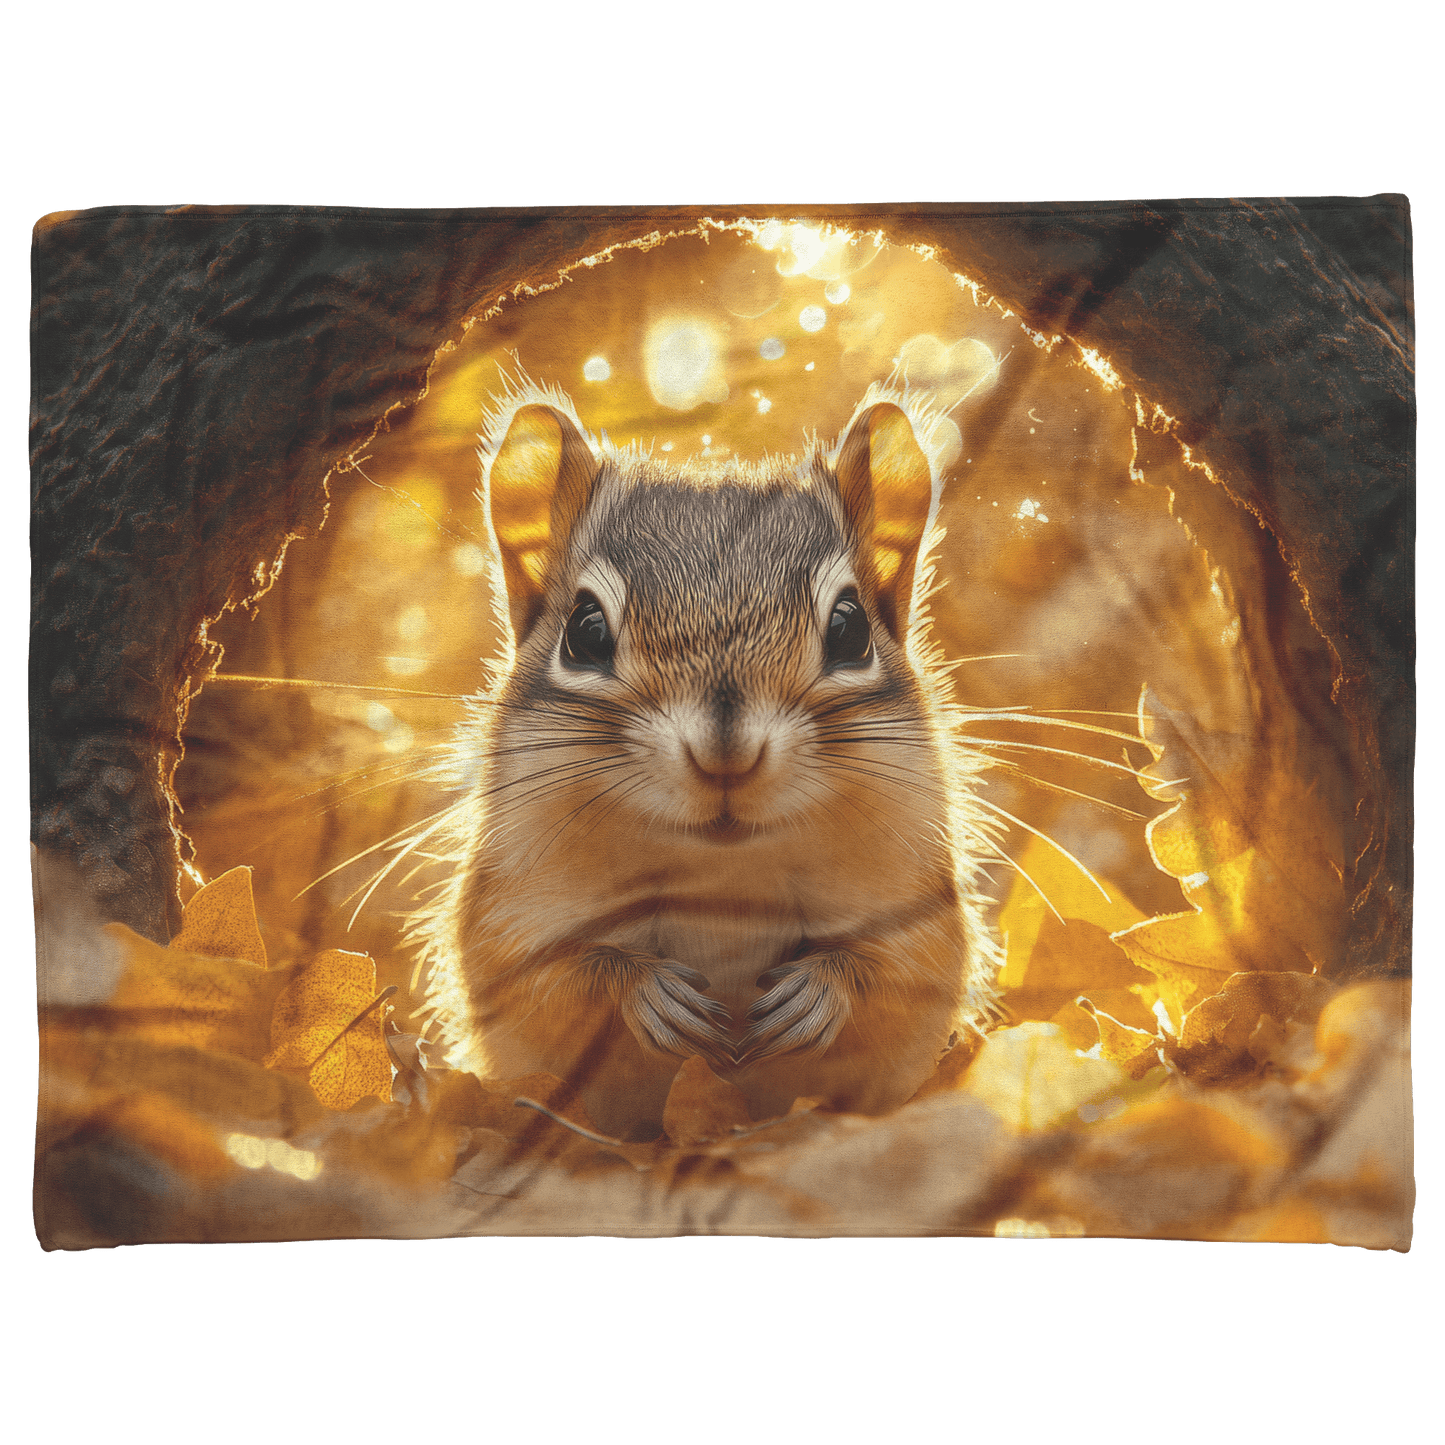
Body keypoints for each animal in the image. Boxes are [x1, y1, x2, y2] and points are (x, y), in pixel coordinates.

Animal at [410, 381, 1003, 1139]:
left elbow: (900, 969)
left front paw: (820, 990)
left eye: (848, 628)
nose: (727, 752)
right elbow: (548, 974)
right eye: (585, 631)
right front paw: (647, 991)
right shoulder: (507, 915)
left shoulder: (918, 908)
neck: (722, 874)